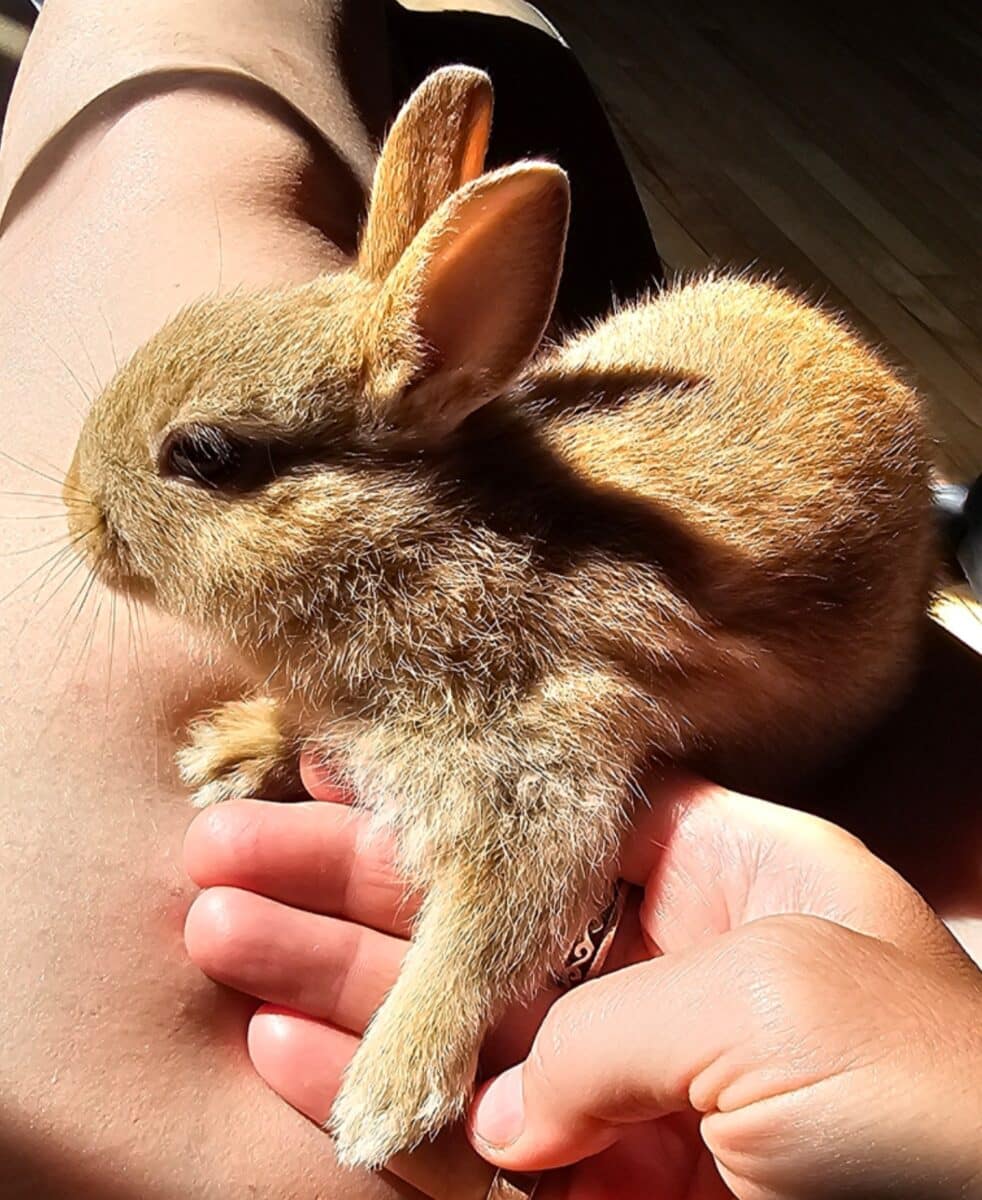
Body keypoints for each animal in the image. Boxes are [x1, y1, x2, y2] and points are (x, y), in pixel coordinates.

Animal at [61, 65, 931, 1171]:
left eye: (207, 454)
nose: (77, 511)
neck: (415, 543)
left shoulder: (539, 766)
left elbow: (485, 935)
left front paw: (381, 1102)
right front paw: (229, 752)